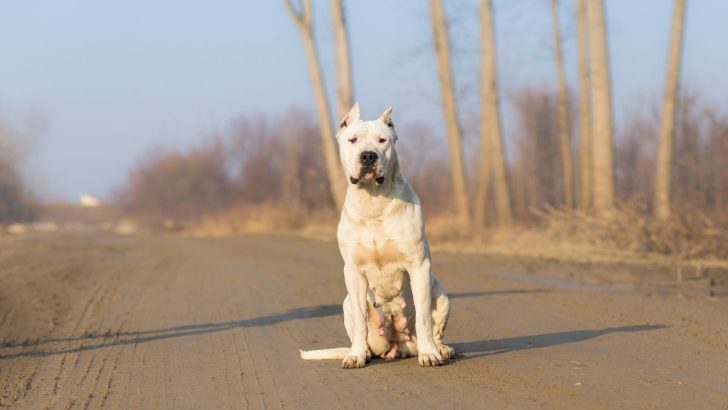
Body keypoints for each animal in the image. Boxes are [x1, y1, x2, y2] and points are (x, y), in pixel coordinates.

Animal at [298, 104, 452, 366]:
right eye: (353, 140)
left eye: (382, 140)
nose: (368, 156)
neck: (373, 203)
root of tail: (397, 345)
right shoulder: (353, 271)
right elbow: (360, 321)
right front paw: (356, 356)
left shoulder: (419, 265)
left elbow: (423, 318)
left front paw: (429, 354)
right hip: (346, 303)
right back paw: (362, 351)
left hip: (441, 295)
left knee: (434, 329)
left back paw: (440, 349)